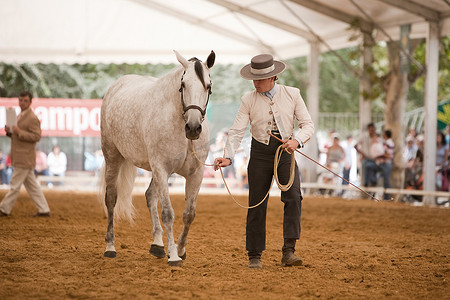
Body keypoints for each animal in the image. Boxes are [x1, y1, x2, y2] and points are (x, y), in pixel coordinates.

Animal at [99, 50, 215, 266]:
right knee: (111, 199)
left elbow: (189, 214)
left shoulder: (196, 173)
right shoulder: (162, 168)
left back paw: (157, 245)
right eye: (183, 85)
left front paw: (180, 249)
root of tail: (115, 86)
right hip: (113, 157)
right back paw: (110, 247)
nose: (193, 128)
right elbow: (168, 214)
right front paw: (174, 256)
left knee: (149, 196)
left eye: (208, 86)